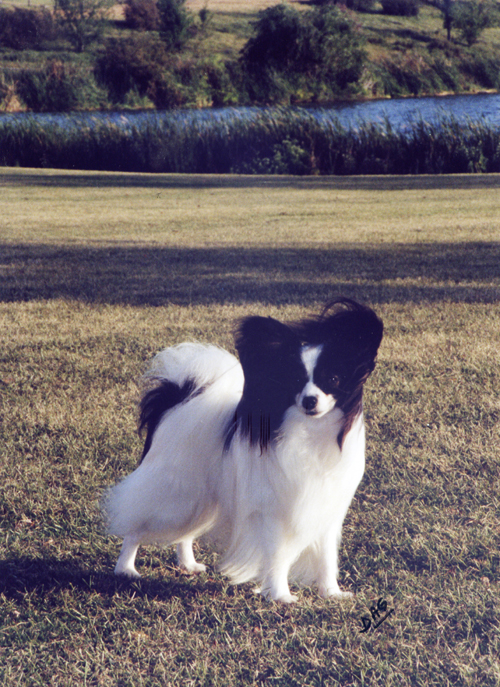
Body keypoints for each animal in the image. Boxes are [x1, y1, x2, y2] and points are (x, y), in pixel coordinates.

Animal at [105, 298, 382, 604]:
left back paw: (188, 564)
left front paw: (332, 593)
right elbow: (277, 556)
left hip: (199, 498)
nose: (310, 401)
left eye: (333, 379)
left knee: (185, 533)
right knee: (135, 524)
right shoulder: (272, 512)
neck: (310, 432)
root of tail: (175, 398)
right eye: (295, 381)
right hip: (174, 497)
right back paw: (126, 569)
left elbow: (326, 558)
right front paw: (280, 595)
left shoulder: (325, 511)